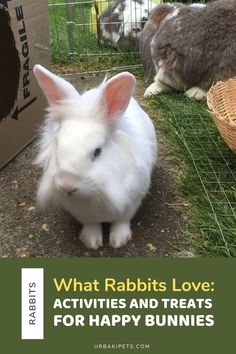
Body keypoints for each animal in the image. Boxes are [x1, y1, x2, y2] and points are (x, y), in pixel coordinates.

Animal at [32, 65, 157, 249]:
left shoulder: (131, 202)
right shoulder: (82, 213)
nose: (67, 186)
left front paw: (118, 240)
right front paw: (91, 241)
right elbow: (90, 224)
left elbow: (122, 221)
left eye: (97, 151)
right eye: (58, 146)